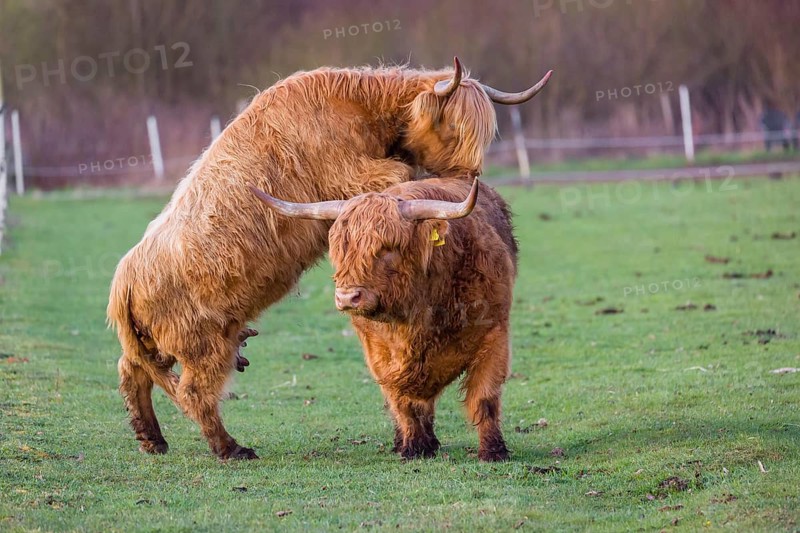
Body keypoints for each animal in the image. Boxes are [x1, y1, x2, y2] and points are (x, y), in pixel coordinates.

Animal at [250, 177, 517, 461]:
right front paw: (413, 447)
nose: (347, 297)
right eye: (340, 250)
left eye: (387, 249)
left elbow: (484, 397)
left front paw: (493, 451)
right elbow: (401, 400)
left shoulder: (494, 336)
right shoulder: (379, 354)